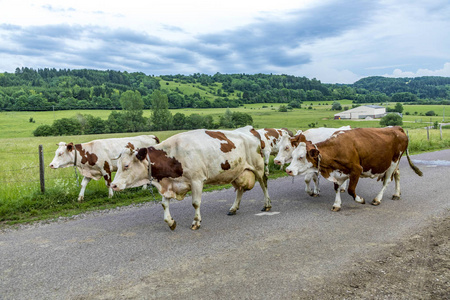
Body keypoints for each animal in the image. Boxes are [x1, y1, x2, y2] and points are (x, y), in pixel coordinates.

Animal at [110, 125, 272, 231]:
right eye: (117, 165)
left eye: (126, 165)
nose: (113, 185)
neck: (174, 154)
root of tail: (249, 129)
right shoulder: (169, 184)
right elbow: (164, 204)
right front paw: (171, 222)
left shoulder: (196, 180)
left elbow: (195, 203)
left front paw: (196, 222)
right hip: (237, 172)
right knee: (240, 190)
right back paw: (233, 208)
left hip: (258, 167)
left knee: (264, 185)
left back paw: (267, 204)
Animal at [286, 126, 424, 211]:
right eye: (293, 154)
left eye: (301, 157)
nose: (288, 170)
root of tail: (396, 128)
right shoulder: (338, 172)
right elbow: (336, 188)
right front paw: (337, 204)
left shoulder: (356, 169)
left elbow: (351, 190)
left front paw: (360, 200)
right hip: (394, 164)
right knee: (397, 175)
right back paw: (396, 194)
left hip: (393, 162)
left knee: (387, 181)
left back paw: (377, 199)